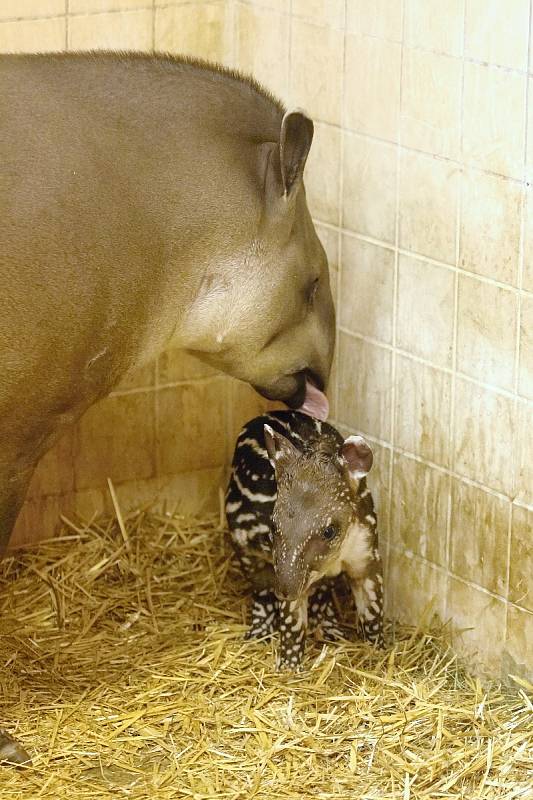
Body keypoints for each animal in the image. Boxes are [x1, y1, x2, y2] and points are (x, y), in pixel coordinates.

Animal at [224, 412, 382, 668]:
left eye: (329, 531)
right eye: (273, 525)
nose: (284, 591)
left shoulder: (365, 549)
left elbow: (372, 608)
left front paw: (378, 649)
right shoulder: (285, 565)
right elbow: (292, 621)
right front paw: (288, 667)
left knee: (321, 592)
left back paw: (330, 629)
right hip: (243, 542)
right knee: (260, 588)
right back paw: (259, 632)